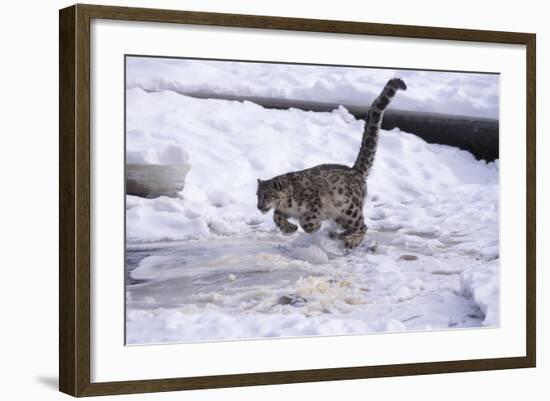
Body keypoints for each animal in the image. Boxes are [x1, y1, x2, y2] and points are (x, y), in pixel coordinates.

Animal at [256, 76, 408, 248]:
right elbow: (276, 216)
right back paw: (341, 234)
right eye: (257, 195)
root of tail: (355, 171)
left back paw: (351, 240)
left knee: (362, 225)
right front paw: (289, 228)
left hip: (349, 209)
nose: (259, 206)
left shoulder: (313, 201)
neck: (289, 206)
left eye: (267, 194)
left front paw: (313, 226)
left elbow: (307, 220)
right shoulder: (283, 211)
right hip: (343, 214)